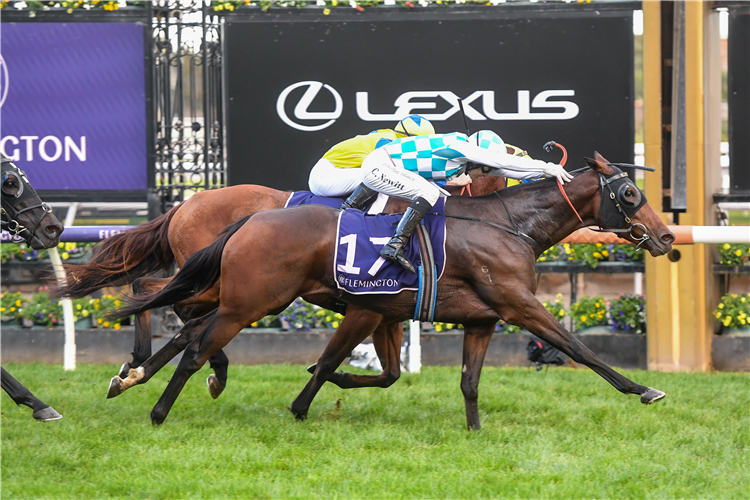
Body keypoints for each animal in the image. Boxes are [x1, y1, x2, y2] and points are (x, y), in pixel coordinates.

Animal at [55, 174, 508, 396]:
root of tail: (185, 204)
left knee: (155, 291)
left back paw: (138, 368)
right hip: (214, 271)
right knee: (167, 300)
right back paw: (165, 365)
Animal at [113, 154, 680, 428]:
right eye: (631, 193)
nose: (668, 237)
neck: (507, 224)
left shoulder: (465, 317)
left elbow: (455, 381)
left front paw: (474, 431)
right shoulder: (517, 305)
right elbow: (578, 347)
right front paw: (644, 389)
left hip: (229, 290)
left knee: (171, 309)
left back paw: (134, 374)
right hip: (249, 299)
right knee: (189, 335)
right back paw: (159, 404)